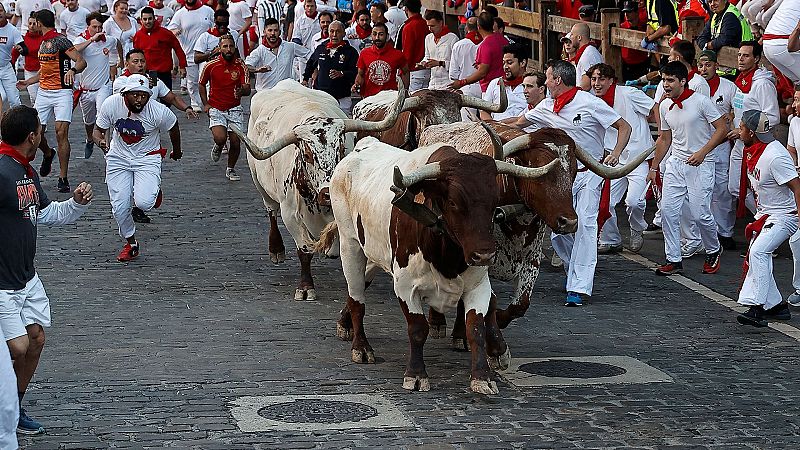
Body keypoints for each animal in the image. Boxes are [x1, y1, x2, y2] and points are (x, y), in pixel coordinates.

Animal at [231, 79, 406, 300]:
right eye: (306, 155)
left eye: (341, 149)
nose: (328, 193)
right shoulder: (290, 214)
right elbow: (304, 250)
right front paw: (305, 287)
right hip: (259, 183)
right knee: (271, 211)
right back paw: (276, 248)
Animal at [316, 125, 560, 392]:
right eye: (453, 202)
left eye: (494, 201)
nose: (485, 254)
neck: (446, 253)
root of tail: (362, 148)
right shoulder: (405, 285)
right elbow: (417, 328)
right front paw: (416, 374)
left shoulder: (478, 285)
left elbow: (476, 328)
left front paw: (482, 376)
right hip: (350, 245)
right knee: (356, 295)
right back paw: (361, 347)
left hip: (375, 251)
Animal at [418, 121, 656, 346]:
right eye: (540, 174)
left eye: (572, 172)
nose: (569, 222)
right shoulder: (483, 259)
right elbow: (488, 301)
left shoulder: (531, 260)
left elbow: (520, 304)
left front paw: (500, 320)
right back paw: (440, 324)